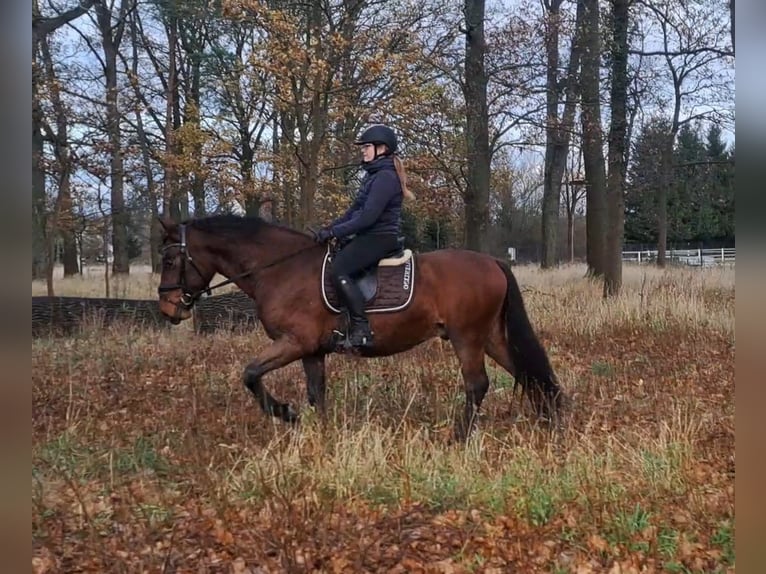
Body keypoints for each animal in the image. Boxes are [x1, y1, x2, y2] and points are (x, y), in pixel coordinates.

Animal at [156, 214, 564, 438]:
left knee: (477, 384)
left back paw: (459, 437)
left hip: (467, 337)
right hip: (490, 337)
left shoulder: (294, 342)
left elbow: (251, 374)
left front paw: (286, 413)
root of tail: (493, 262)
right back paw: (551, 420)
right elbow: (317, 393)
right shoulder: (312, 350)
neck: (282, 268)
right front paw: (321, 434)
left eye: (170, 259)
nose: (167, 308)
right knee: (527, 372)